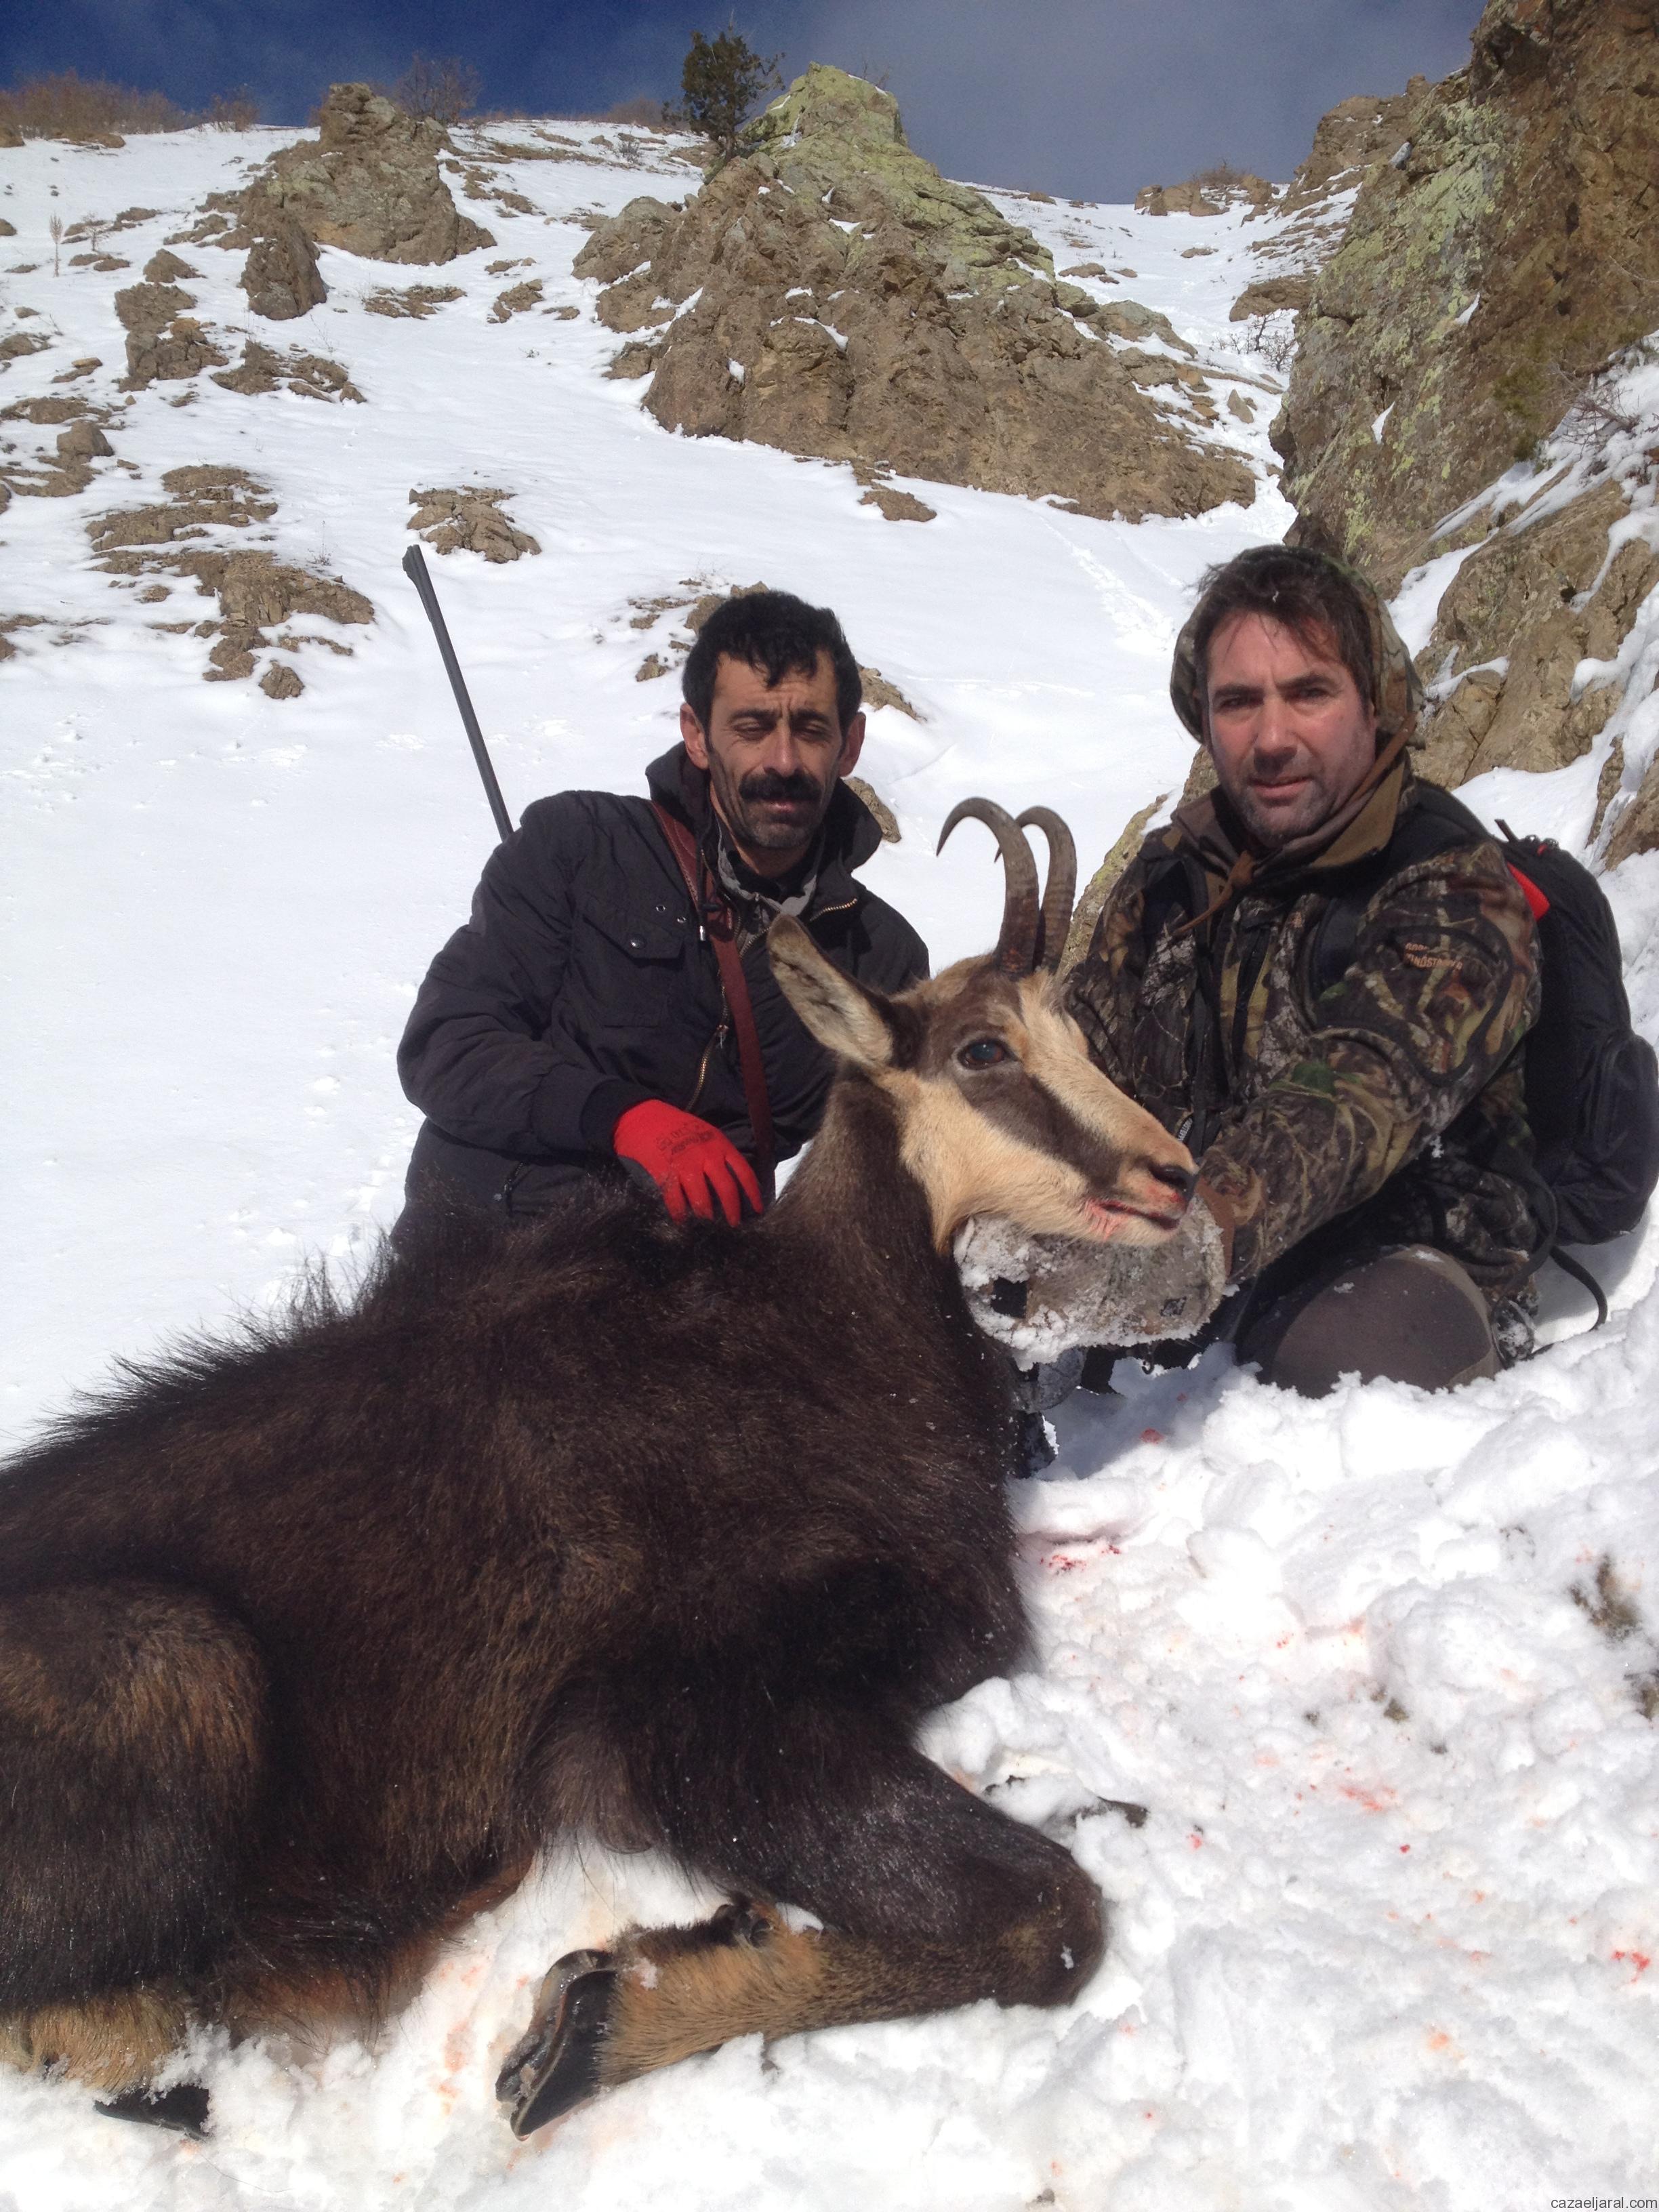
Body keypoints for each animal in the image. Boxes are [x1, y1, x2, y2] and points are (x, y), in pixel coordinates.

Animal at [0, 799, 1196, 2142]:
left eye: (1080, 1035)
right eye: (984, 1048)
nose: (1176, 1173)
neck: (841, 1335)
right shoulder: (683, 1709)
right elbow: (1051, 1916)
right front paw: (587, 2023)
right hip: (176, 1659)